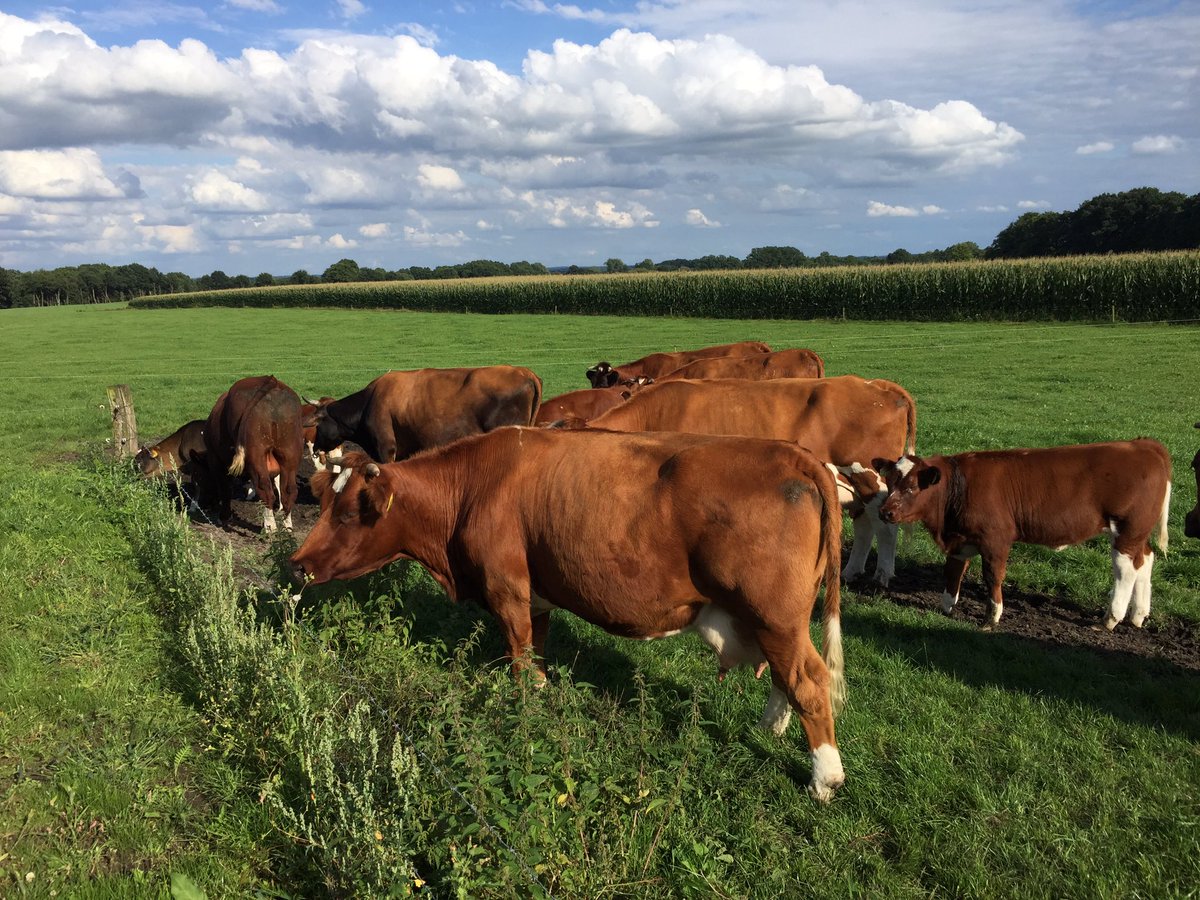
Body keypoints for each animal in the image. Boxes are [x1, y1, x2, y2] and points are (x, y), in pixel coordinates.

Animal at [202, 375, 303, 533]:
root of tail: (271, 380)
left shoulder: (216, 460)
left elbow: (225, 489)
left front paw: (224, 516)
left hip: (256, 454)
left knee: (265, 489)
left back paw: (270, 528)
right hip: (290, 452)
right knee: (289, 491)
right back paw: (287, 527)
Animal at [290, 428, 848, 801]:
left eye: (349, 514)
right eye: (322, 505)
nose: (298, 563)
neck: (473, 485)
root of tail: (794, 455)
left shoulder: (506, 588)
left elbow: (519, 660)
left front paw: (524, 714)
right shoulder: (536, 596)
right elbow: (536, 651)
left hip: (774, 616)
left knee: (809, 680)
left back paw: (825, 777)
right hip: (777, 623)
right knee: (787, 676)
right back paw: (772, 727)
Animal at [581, 376, 917, 586]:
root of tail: (876, 385)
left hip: (869, 476)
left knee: (885, 526)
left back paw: (882, 574)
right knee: (865, 524)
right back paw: (852, 571)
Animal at [875, 440, 1172, 630]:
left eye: (913, 487)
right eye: (889, 481)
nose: (885, 512)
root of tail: (1143, 444)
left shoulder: (995, 539)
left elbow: (992, 576)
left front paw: (992, 616)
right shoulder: (960, 539)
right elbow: (952, 570)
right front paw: (947, 606)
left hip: (1128, 530)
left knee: (1126, 570)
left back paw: (1111, 618)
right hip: (1137, 533)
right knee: (1145, 560)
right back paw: (1138, 615)